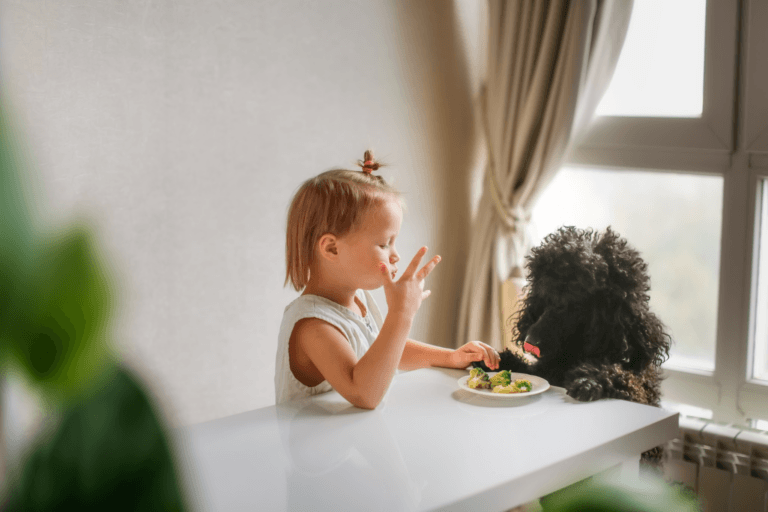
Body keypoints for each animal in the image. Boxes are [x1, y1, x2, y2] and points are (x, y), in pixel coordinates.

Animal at [474, 225, 672, 468]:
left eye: (572, 303)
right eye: (544, 297)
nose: (530, 343)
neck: (570, 357)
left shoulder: (635, 390)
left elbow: (620, 377)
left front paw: (591, 380)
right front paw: (490, 357)